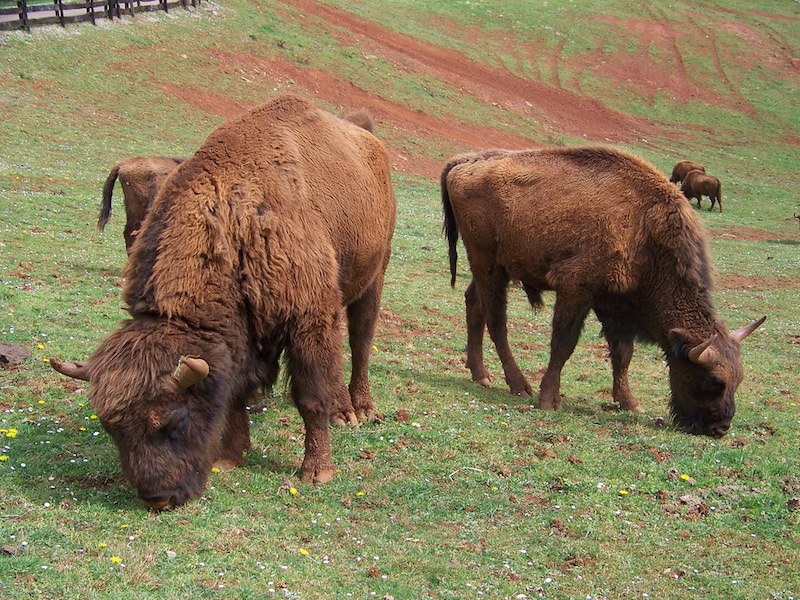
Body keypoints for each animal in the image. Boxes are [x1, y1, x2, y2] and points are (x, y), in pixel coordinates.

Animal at [48, 96, 396, 508]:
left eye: (173, 420)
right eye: (111, 428)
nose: (158, 499)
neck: (232, 220)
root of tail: (371, 144)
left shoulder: (307, 319)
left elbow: (311, 397)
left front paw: (317, 472)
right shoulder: (243, 335)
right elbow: (234, 397)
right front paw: (230, 457)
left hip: (373, 277)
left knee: (360, 342)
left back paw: (358, 409)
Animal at [440, 145, 764, 436]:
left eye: (738, 380)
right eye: (712, 381)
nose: (720, 428)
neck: (645, 229)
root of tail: (465, 162)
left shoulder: (615, 306)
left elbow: (622, 355)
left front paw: (630, 403)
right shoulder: (576, 290)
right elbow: (563, 345)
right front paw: (549, 400)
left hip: (494, 269)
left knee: (475, 305)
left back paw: (481, 375)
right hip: (487, 264)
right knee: (497, 322)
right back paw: (519, 386)